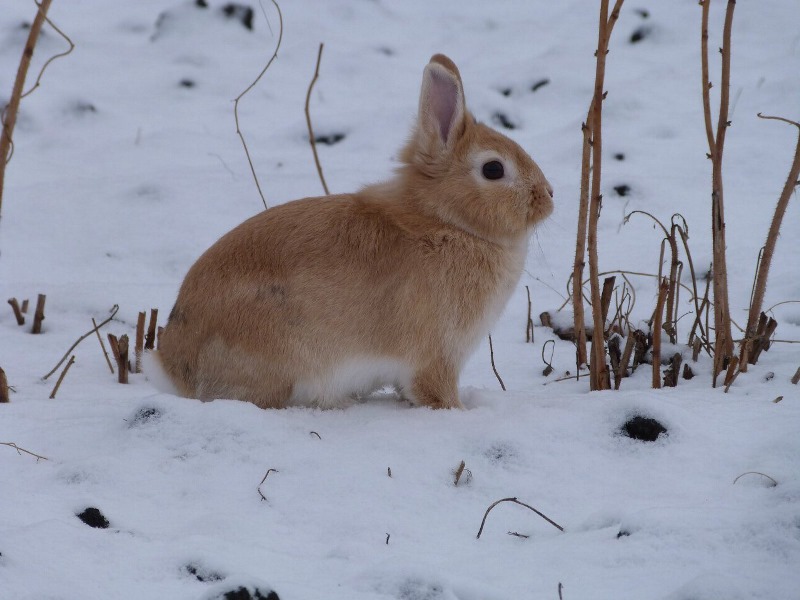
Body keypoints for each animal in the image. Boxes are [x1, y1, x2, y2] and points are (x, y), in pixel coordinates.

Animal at [159, 54, 552, 410]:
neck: (447, 221)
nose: (548, 197)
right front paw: (458, 411)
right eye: (493, 169)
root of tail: (172, 365)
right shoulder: (437, 355)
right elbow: (434, 391)